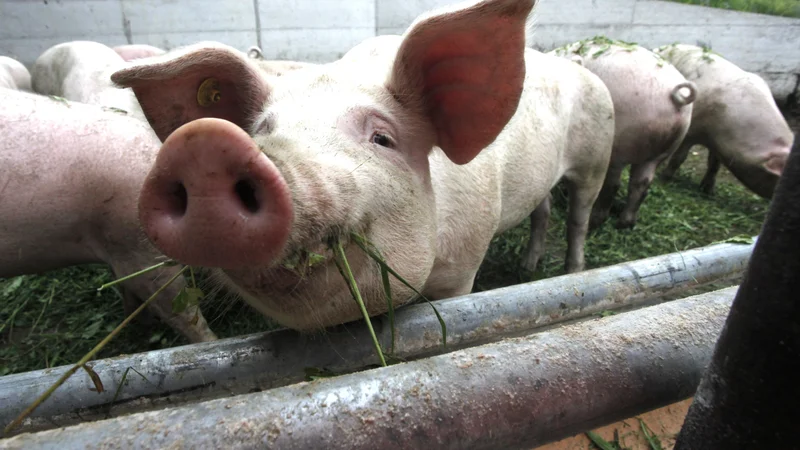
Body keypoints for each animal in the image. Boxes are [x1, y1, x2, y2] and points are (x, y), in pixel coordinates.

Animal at [109, 0, 616, 330]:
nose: (204, 144)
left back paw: (572, 272)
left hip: (598, 153)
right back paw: (530, 267)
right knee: (543, 209)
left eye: (382, 139)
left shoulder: (464, 267)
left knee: (579, 215)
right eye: (261, 131)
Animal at [552, 37, 692, 230]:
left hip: (619, 146)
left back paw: (596, 222)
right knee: (641, 183)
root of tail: (675, 97)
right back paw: (624, 223)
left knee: (613, 184)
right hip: (660, 152)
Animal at [648, 44, 792, 197]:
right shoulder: (690, 132)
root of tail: (661, 48)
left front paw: (708, 191)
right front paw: (664, 179)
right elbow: (679, 158)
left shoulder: (718, 144)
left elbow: (714, 165)